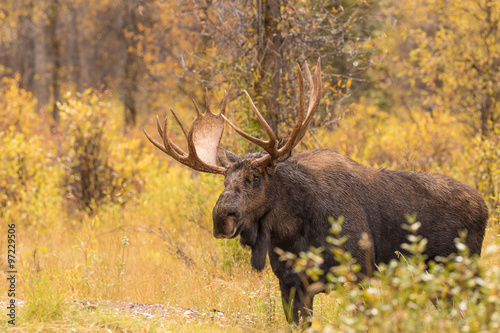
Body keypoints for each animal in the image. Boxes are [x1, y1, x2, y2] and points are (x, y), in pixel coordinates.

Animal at [145, 58, 488, 322]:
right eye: (225, 181)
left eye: (256, 178)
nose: (221, 218)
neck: (292, 233)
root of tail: (484, 206)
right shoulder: (291, 285)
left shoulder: (360, 275)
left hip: (462, 270)